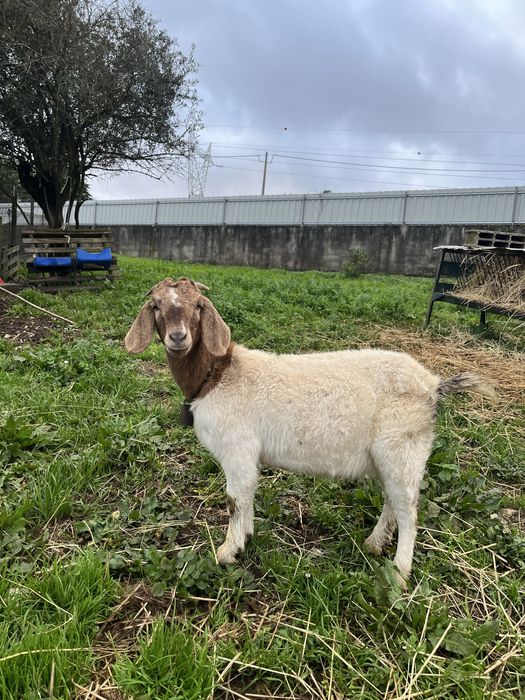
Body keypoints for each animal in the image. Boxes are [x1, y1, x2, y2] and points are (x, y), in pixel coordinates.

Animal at [125, 277, 494, 587]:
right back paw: (374, 544)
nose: (178, 337)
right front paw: (246, 538)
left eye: (199, 306)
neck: (217, 375)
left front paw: (228, 551)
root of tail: (433, 385)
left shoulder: (237, 449)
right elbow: (246, 499)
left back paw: (400, 573)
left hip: (403, 446)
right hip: (388, 456)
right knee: (394, 500)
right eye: (156, 306)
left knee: (409, 511)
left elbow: (235, 500)